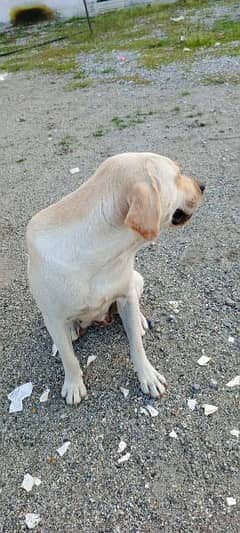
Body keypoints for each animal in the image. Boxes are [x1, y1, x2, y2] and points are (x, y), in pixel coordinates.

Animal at [27, 152, 205, 406]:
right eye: (178, 175)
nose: (203, 186)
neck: (98, 252)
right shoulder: (51, 316)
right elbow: (68, 358)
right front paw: (73, 384)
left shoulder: (126, 294)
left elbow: (137, 346)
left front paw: (147, 376)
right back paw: (71, 328)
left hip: (136, 280)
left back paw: (139, 320)